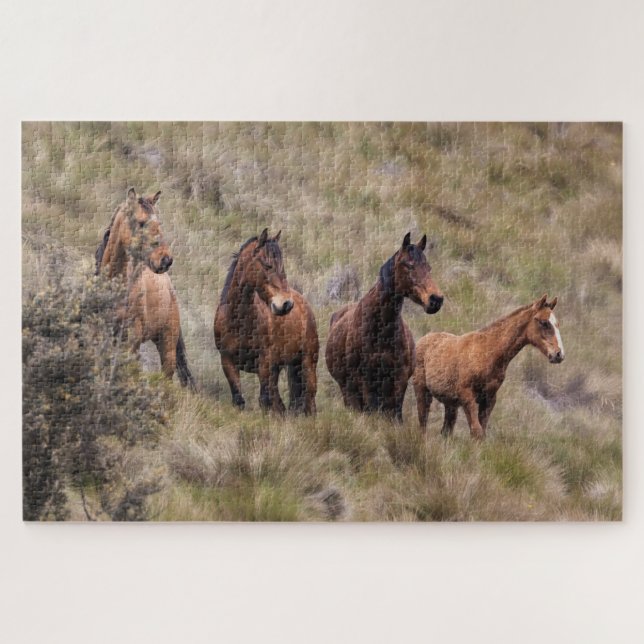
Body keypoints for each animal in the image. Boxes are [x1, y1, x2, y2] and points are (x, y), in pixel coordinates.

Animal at [214, 229, 319, 414]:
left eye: (282, 266)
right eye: (267, 265)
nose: (286, 304)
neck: (238, 322)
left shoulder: (264, 363)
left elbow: (264, 401)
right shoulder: (227, 361)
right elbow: (239, 400)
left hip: (307, 364)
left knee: (309, 401)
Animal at [325, 232, 444, 421]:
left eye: (428, 267)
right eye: (409, 265)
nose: (436, 300)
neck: (379, 330)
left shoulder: (399, 380)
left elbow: (395, 414)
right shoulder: (364, 380)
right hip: (348, 389)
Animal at [412, 294, 565, 440]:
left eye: (557, 324)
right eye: (544, 323)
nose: (559, 354)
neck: (487, 354)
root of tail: (423, 339)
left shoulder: (489, 399)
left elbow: (481, 432)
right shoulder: (467, 396)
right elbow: (477, 432)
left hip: (450, 403)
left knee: (445, 431)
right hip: (422, 392)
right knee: (423, 424)